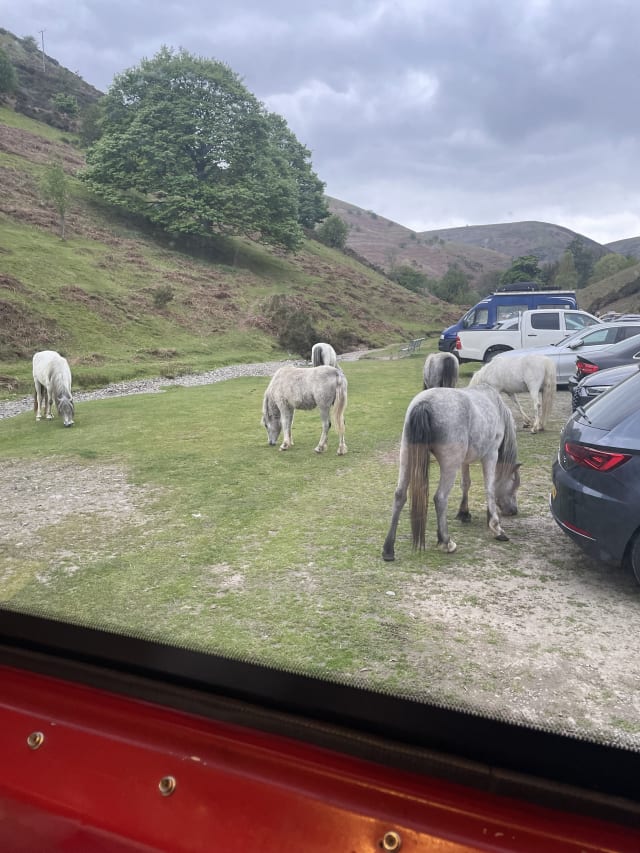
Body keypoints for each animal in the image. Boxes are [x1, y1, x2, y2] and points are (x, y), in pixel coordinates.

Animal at [382, 384, 520, 561]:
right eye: (515, 485)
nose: (513, 510)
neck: (495, 404)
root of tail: (424, 403)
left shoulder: (465, 461)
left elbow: (466, 483)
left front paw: (464, 513)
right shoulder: (491, 454)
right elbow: (490, 488)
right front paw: (496, 527)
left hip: (406, 456)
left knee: (400, 495)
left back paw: (388, 549)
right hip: (450, 464)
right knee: (440, 498)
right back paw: (446, 542)